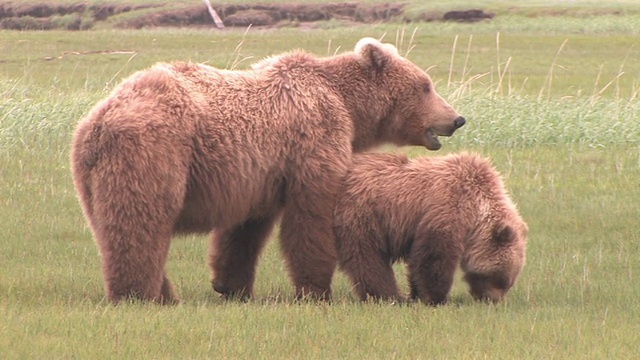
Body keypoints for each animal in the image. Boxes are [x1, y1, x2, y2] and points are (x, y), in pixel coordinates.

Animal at [70, 37, 464, 304]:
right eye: (426, 85)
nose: (457, 118)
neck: (349, 106)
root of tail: (102, 117)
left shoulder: (259, 172)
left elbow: (245, 230)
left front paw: (232, 285)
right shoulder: (313, 141)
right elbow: (311, 215)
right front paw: (317, 290)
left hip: (87, 173)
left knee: (110, 227)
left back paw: (163, 292)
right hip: (155, 150)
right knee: (141, 220)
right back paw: (139, 294)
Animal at [332, 152, 528, 304]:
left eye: (508, 282)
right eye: (499, 278)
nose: (491, 300)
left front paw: (417, 294)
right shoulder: (448, 207)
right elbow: (434, 256)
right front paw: (435, 298)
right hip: (362, 214)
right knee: (367, 257)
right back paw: (389, 296)